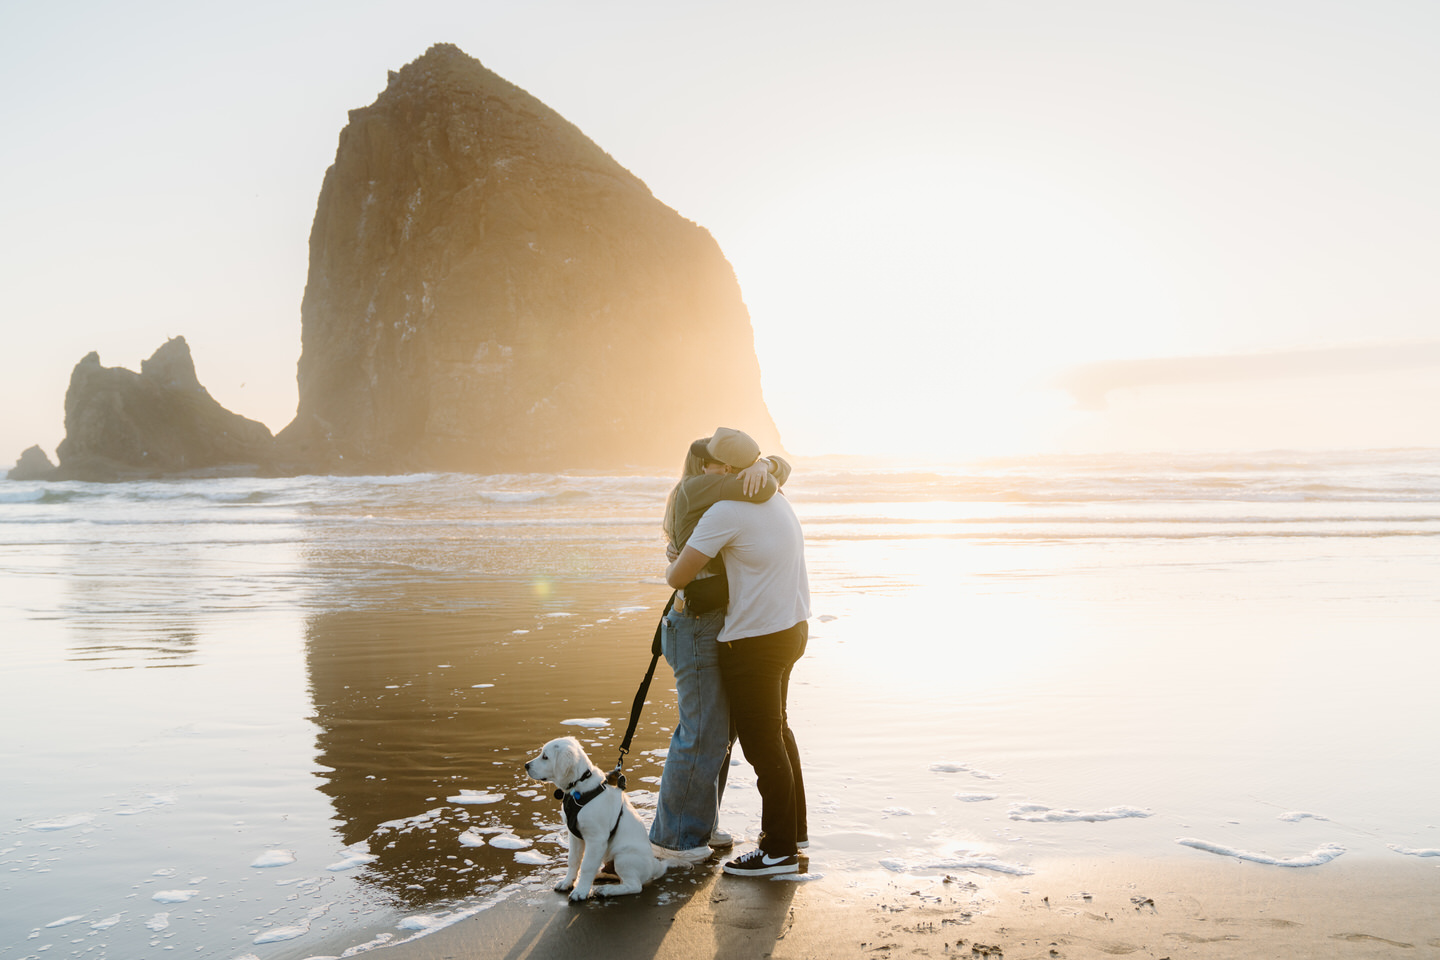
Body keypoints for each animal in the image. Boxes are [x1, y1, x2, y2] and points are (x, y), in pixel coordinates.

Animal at [524, 736, 668, 903]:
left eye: (545, 757)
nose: (526, 766)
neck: (579, 786)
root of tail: (655, 866)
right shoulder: (574, 836)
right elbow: (574, 860)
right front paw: (568, 882)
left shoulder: (596, 839)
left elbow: (587, 866)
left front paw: (580, 891)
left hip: (624, 857)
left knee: (633, 886)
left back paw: (605, 890)